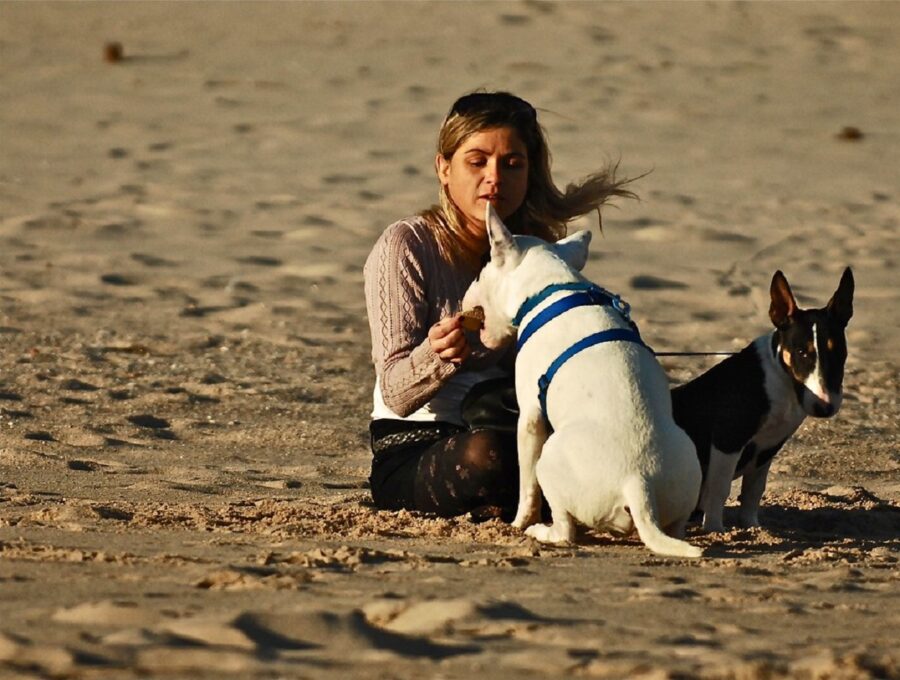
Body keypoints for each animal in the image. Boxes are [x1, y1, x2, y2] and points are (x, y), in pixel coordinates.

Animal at [464, 207, 704, 556]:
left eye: (480, 274)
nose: (463, 299)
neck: (553, 287)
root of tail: (638, 481)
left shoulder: (530, 416)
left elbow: (527, 485)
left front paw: (517, 523)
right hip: (686, 472)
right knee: (677, 527)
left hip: (549, 460)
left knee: (565, 529)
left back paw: (541, 531)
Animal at [672, 268, 856, 532]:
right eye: (801, 352)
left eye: (838, 351)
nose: (825, 407)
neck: (781, 382)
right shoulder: (727, 440)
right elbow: (719, 490)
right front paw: (715, 529)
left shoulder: (766, 450)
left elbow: (753, 492)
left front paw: (752, 527)